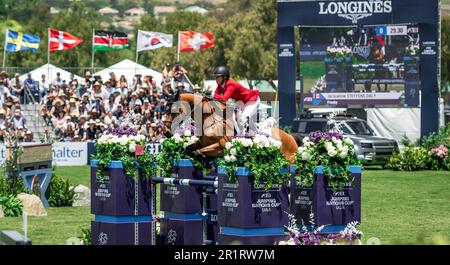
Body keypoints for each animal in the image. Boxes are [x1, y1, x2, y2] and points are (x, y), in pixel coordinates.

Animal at [163, 92, 298, 164]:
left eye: (173, 109)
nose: (166, 132)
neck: (211, 119)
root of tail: (290, 137)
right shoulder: (201, 143)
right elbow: (189, 149)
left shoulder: (221, 146)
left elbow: (199, 152)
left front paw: (203, 158)